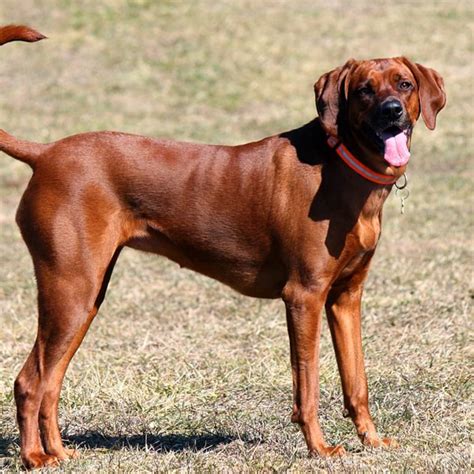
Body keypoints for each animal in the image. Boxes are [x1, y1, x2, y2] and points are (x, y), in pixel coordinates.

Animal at [0, 25, 444, 466]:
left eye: (404, 84)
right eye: (365, 90)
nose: (392, 111)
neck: (340, 166)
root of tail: (46, 153)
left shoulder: (346, 298)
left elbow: (357, 381)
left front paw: (372, 441)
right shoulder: (304, 296)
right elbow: (308, 384)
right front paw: (319, 448)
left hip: (86, 296)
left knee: (51, 380)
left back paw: (59, 452)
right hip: (71, 290)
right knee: (29, 381)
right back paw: (34, 457)